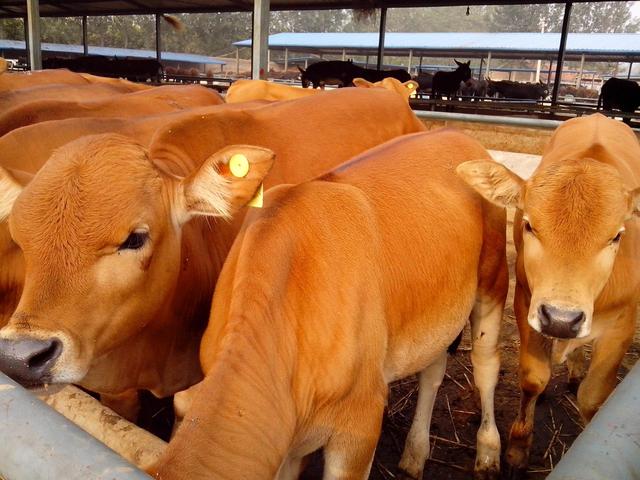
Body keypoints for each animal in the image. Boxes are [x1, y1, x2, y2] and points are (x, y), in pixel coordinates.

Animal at [150, 127, 504, 480]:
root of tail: (454, 131)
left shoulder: (361, 422)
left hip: (493, 281)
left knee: (485, 362)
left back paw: (488, 452)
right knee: (433, 369)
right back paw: (415, 454)